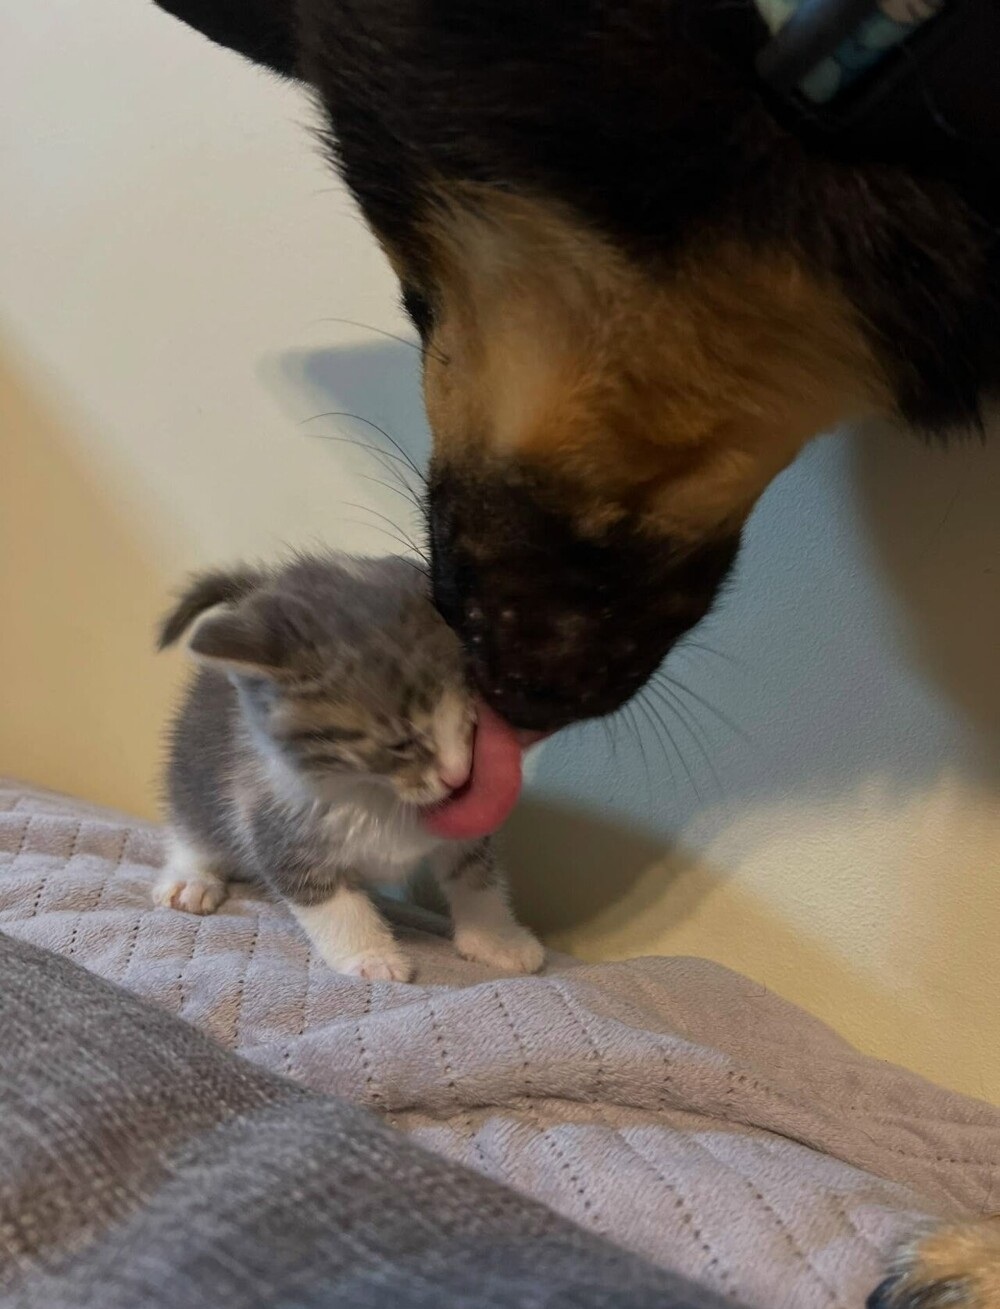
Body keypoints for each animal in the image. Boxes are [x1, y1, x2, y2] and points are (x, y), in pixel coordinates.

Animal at [152, 552, 545, 983]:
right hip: (194, 766)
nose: (458, 777)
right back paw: (191, 878)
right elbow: (329, 901)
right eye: (401, 743)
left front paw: (498, 940)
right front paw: (371, 956)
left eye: (473, 722)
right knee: (193, 823)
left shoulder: (462, 829)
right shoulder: (272, 818)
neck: (376, 790)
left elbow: (476, 876)